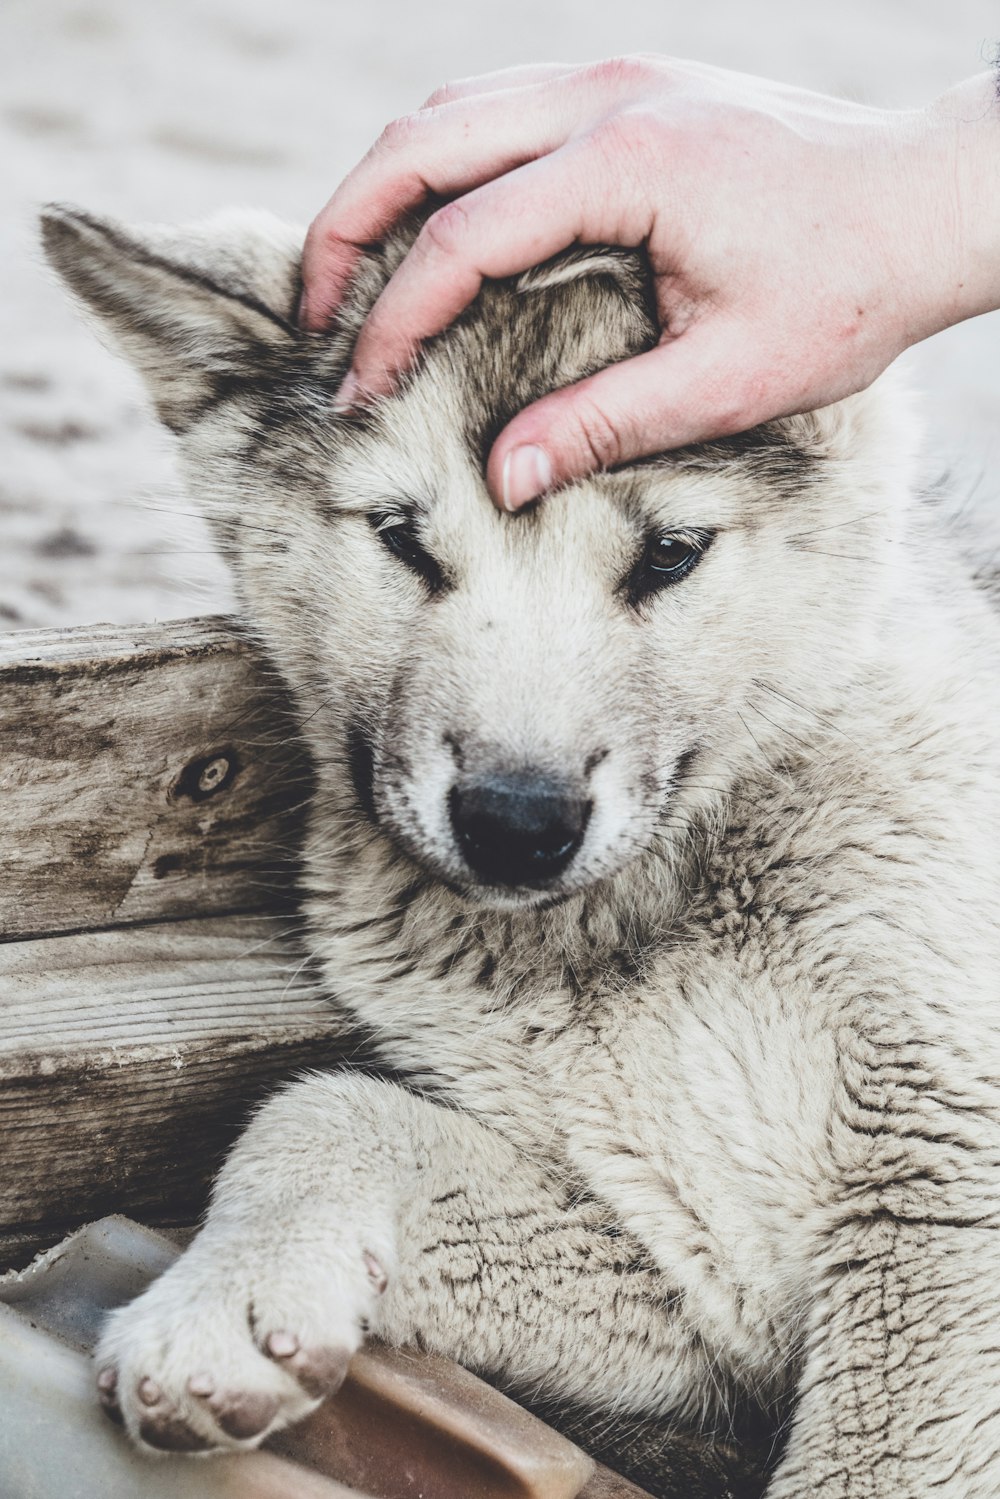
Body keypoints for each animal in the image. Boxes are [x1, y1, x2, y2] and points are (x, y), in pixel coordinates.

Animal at [43, 202, 1000, 1499]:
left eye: (669, 551)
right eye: (401, 539)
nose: (514, 819)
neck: (647, 918)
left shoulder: (938, 1198)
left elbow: (876, 1459)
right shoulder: (686, 1280)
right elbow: (322, 1107)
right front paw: (230, 1310)